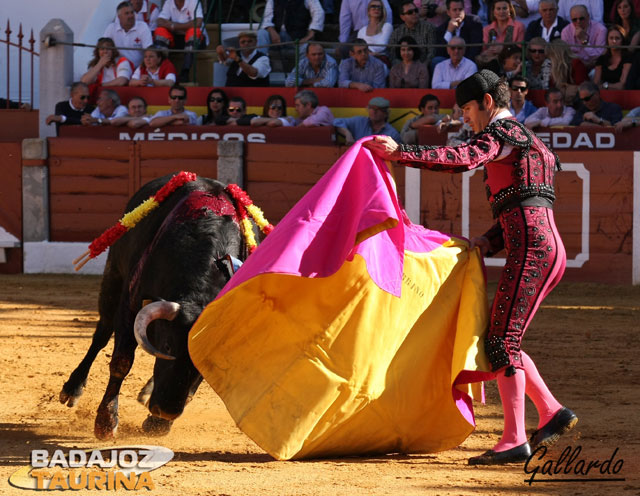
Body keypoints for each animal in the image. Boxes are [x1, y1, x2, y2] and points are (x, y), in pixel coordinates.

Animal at [59, 174, 245, 438]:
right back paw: (72, 390)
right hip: (113, 278)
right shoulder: (130, 306)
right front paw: (105, 422)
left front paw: (158, 425)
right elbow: (121, 362)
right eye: (167, 345)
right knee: (101, 334)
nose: (166, 411)